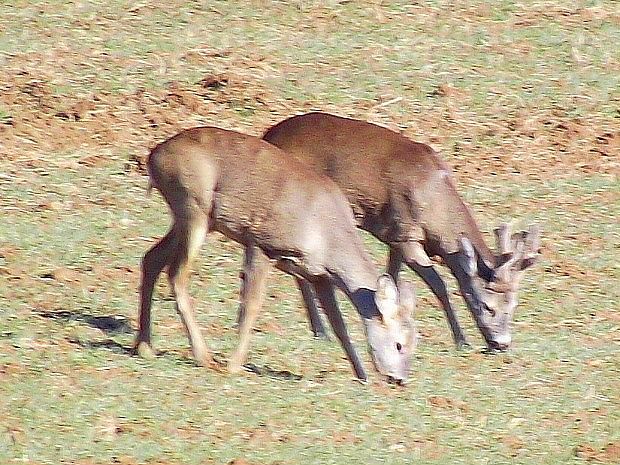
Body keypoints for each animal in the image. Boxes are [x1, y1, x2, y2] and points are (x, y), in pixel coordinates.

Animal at [135, 126, 416, 380]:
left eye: (416, 343)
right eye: (399, 344)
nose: (399, 379)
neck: (327, 238)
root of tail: (155, 155)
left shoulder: (318, 274)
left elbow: (339, 325)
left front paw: (361, 376)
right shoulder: (262, 243)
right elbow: (251, 305)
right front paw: (234, 365)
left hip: (194, 219)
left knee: (151, 259)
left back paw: (145, 347)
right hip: (194, 207)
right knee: (177, 274)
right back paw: (204, 356)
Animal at [260, 112, 540, 350]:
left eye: (514, 305)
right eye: (487, 306)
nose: (502, 344)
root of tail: (268, 134)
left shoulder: (394, 235)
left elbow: (392, 278)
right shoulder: (406, 234)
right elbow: (439, 285)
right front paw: (462, 341)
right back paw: (321, 331)